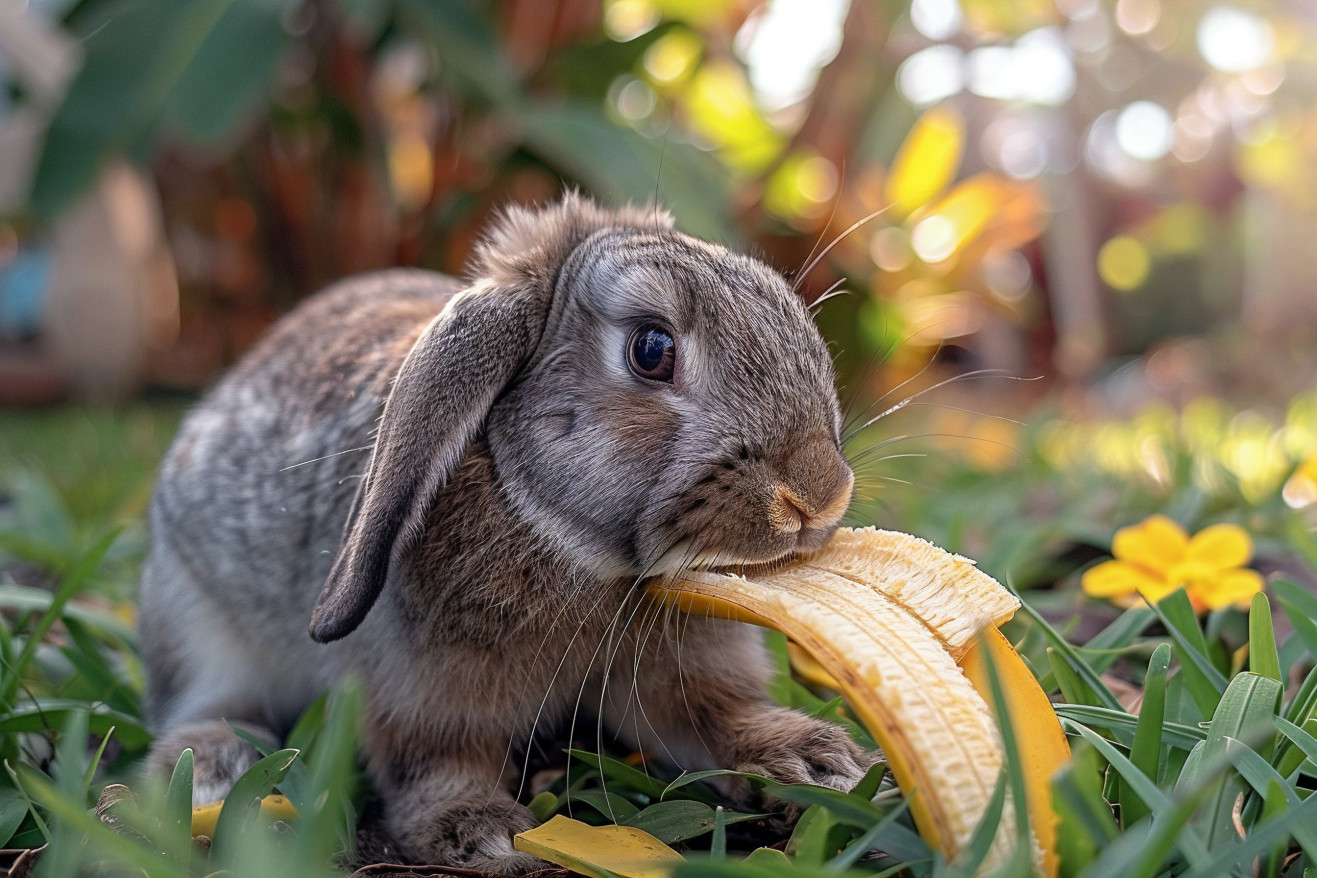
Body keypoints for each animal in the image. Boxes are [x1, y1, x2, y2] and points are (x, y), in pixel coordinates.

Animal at [138, 193, 874, 874]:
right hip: (193, 616)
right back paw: (211, 774)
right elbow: (433, 764)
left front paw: (817, 764)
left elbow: (718, 715)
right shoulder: (419, 693)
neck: (583, 557)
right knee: (206, 702)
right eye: (651, 349)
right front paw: (483, 832)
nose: (817, 495)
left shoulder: (681, 678)